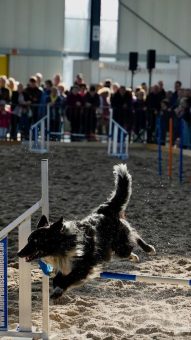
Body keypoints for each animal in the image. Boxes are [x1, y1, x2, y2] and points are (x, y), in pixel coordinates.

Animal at [17, 163, 155, 298]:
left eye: (36, 241)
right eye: (28, 240)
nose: (19, 253)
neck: (63, 244)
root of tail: (104, 210)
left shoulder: (84, 265)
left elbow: (69, 278)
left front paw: (58, 291)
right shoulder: (66, 265)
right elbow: (58, 279)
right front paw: (57, 290)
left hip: (121, 246)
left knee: (134, 238)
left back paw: (148, 248)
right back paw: (135, 256)